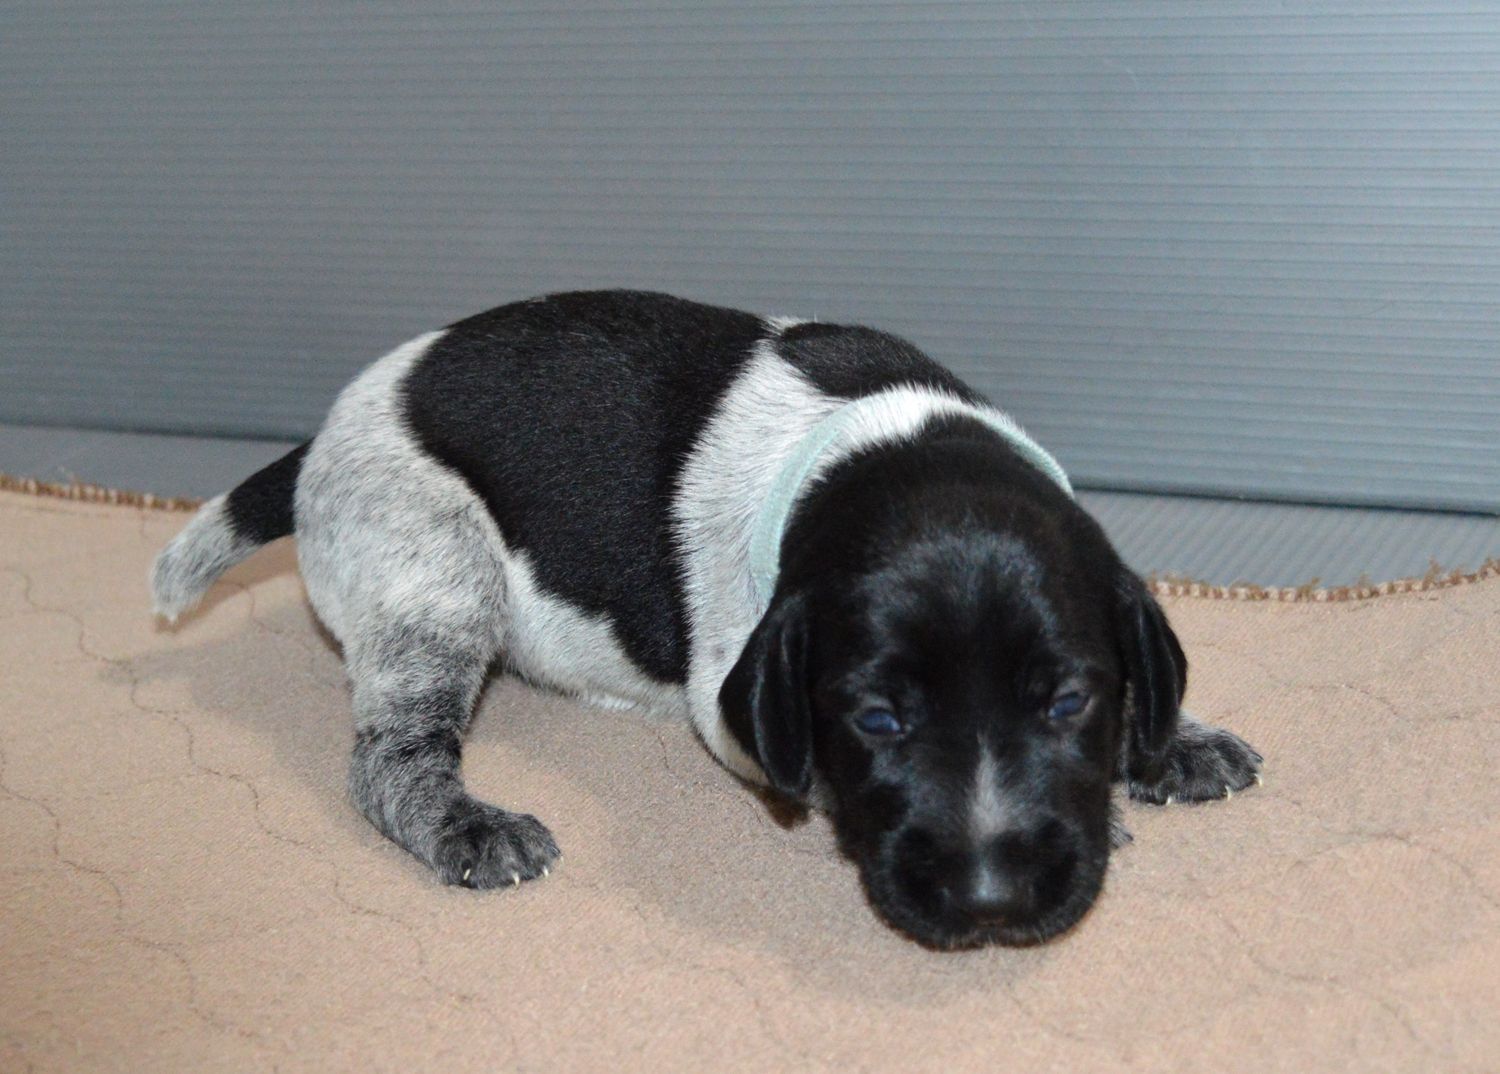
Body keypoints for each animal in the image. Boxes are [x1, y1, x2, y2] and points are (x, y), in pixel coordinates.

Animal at [152, 289, 1262, 948]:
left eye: (1070, 702)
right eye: (877, 722)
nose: (993, 902)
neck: (893, 444)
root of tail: (318, 440)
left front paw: (1168, 741)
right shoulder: (734, 692)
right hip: (434, 572)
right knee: (388, 760)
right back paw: (466, 822)